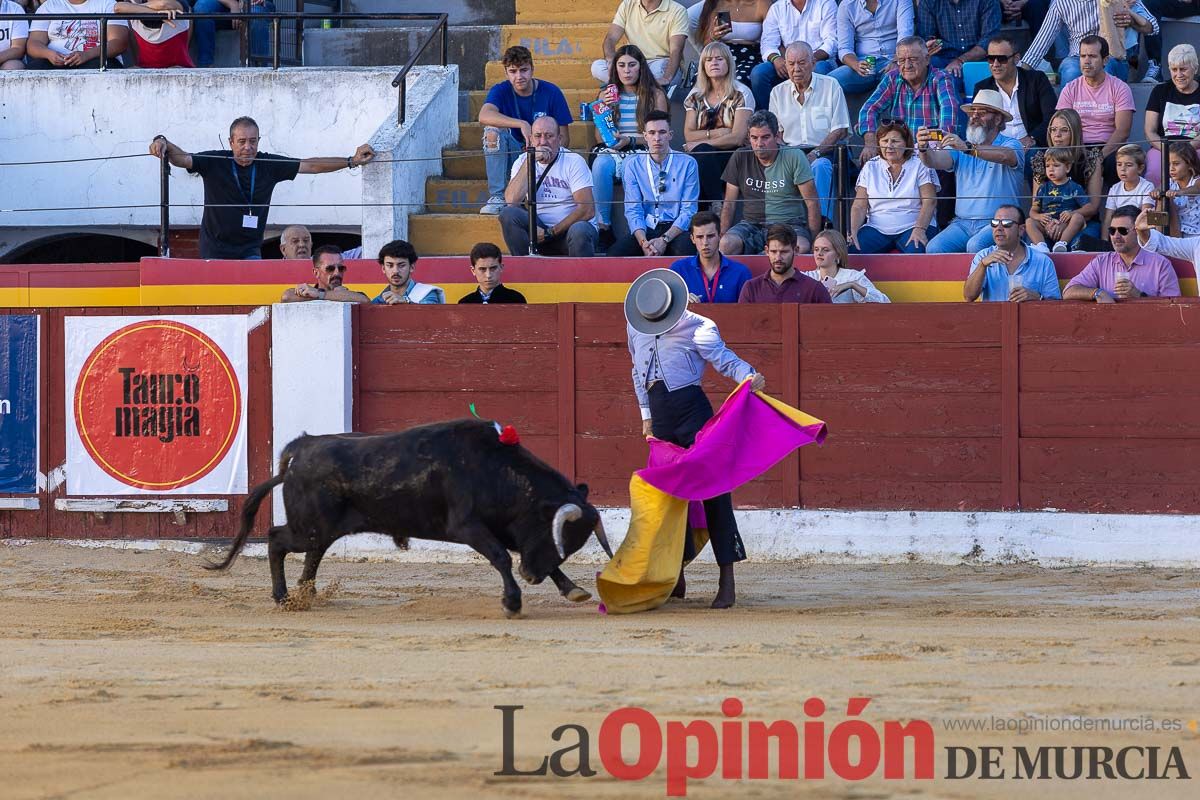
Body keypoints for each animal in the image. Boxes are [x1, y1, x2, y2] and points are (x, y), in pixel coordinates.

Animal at [204, 419, 609, 618]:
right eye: (550, 531)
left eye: (572, 546)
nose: (531, 577)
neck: (493, 469)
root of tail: (301, 446)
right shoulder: (469, 527)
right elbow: (500, 557)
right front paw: (512, 603)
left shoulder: (507, 530)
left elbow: (531, 559)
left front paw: (572, 589)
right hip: (310, 527)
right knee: (277, 539)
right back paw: (284, 598)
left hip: (324, 528)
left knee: (313, 554)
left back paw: (307, 594)